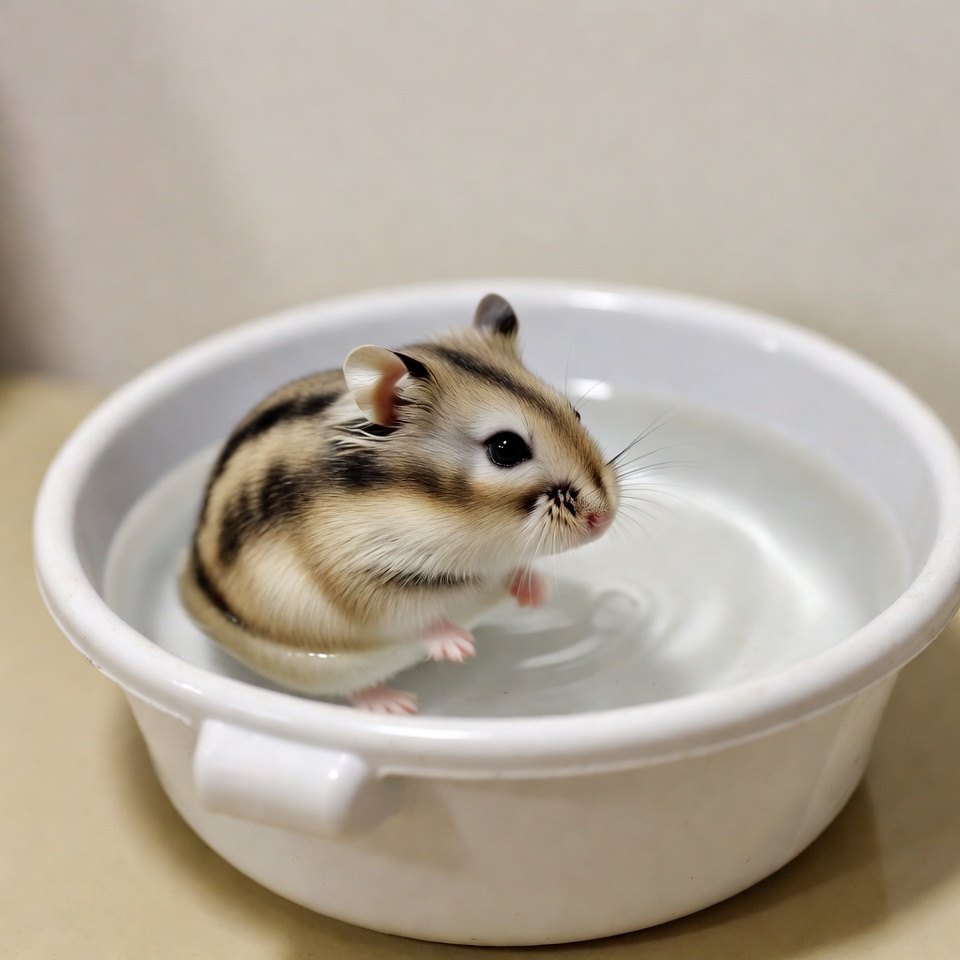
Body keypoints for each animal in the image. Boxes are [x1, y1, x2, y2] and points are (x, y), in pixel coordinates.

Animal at [179, 294, 619, 713]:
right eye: (506, 448)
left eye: (575, 412)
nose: (604, 518)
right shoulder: (356, 577)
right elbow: (411, 617)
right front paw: (460, 648)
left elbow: (514, 571)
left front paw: (536, 593)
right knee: (356, 687)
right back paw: (397, 705)